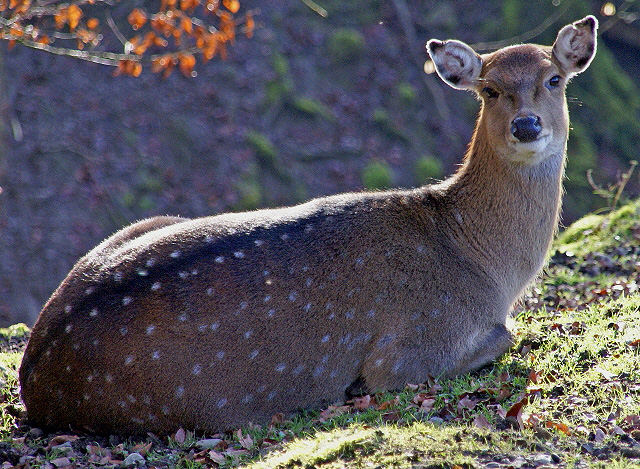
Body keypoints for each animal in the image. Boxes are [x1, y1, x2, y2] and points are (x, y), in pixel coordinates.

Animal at [21, 18, 600, 436]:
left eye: (554, 79)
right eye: (489, 90)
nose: (527, 125)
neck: (485, 264)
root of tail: (33, 379)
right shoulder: (410, 348)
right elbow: (504, 335)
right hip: (188, 402)